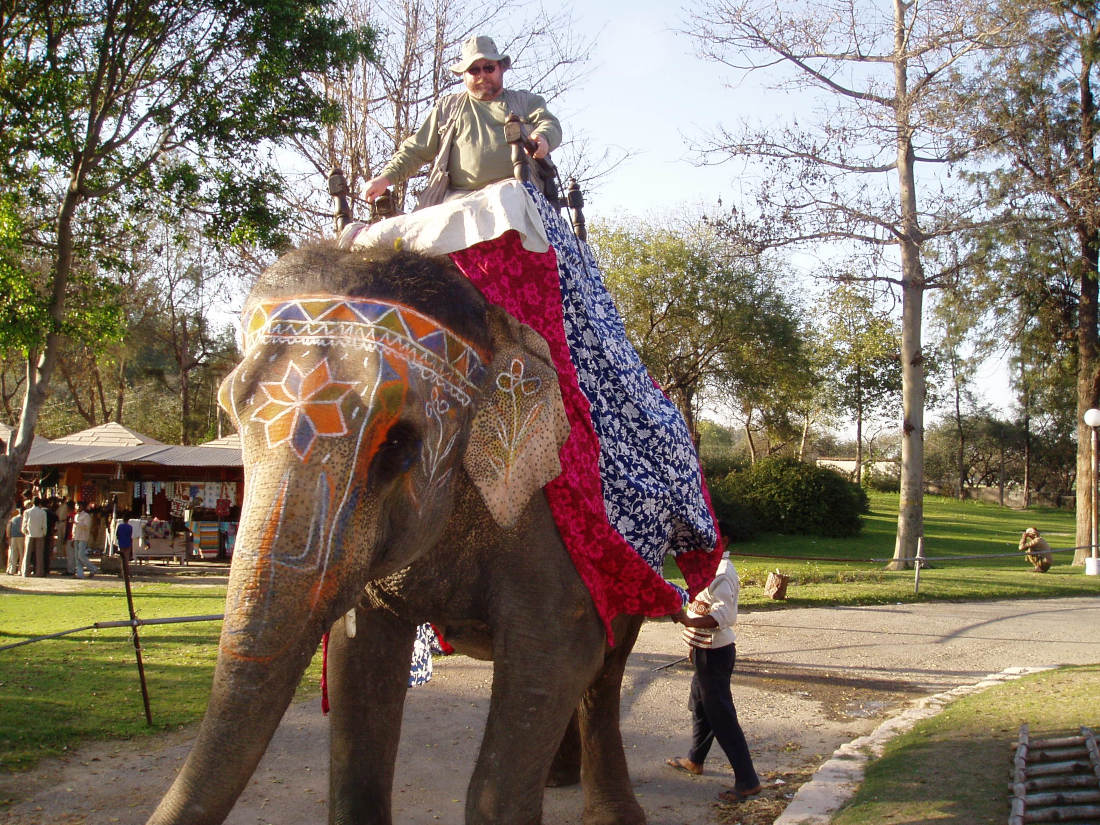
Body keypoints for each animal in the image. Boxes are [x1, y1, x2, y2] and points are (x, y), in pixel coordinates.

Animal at [146, 243, 651, 825]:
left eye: (398, 445)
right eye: (229, 413)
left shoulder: (552, 527)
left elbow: (557, 655)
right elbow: (358, 671)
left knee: (604, 673)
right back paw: (557, 779)